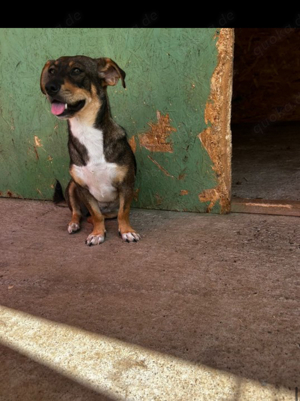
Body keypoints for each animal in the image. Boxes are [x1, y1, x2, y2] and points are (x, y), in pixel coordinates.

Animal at [40, 55, 140, 244]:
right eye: (51, 71)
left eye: (76, 70)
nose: (49, 87)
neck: (86, 131)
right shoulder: (83, 188)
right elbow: (96, 214)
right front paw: (97, 234)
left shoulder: (126, 184)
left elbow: (123, 213)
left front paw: (127, 231)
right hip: (71, 186)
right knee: (78, 212)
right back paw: (74, 224)